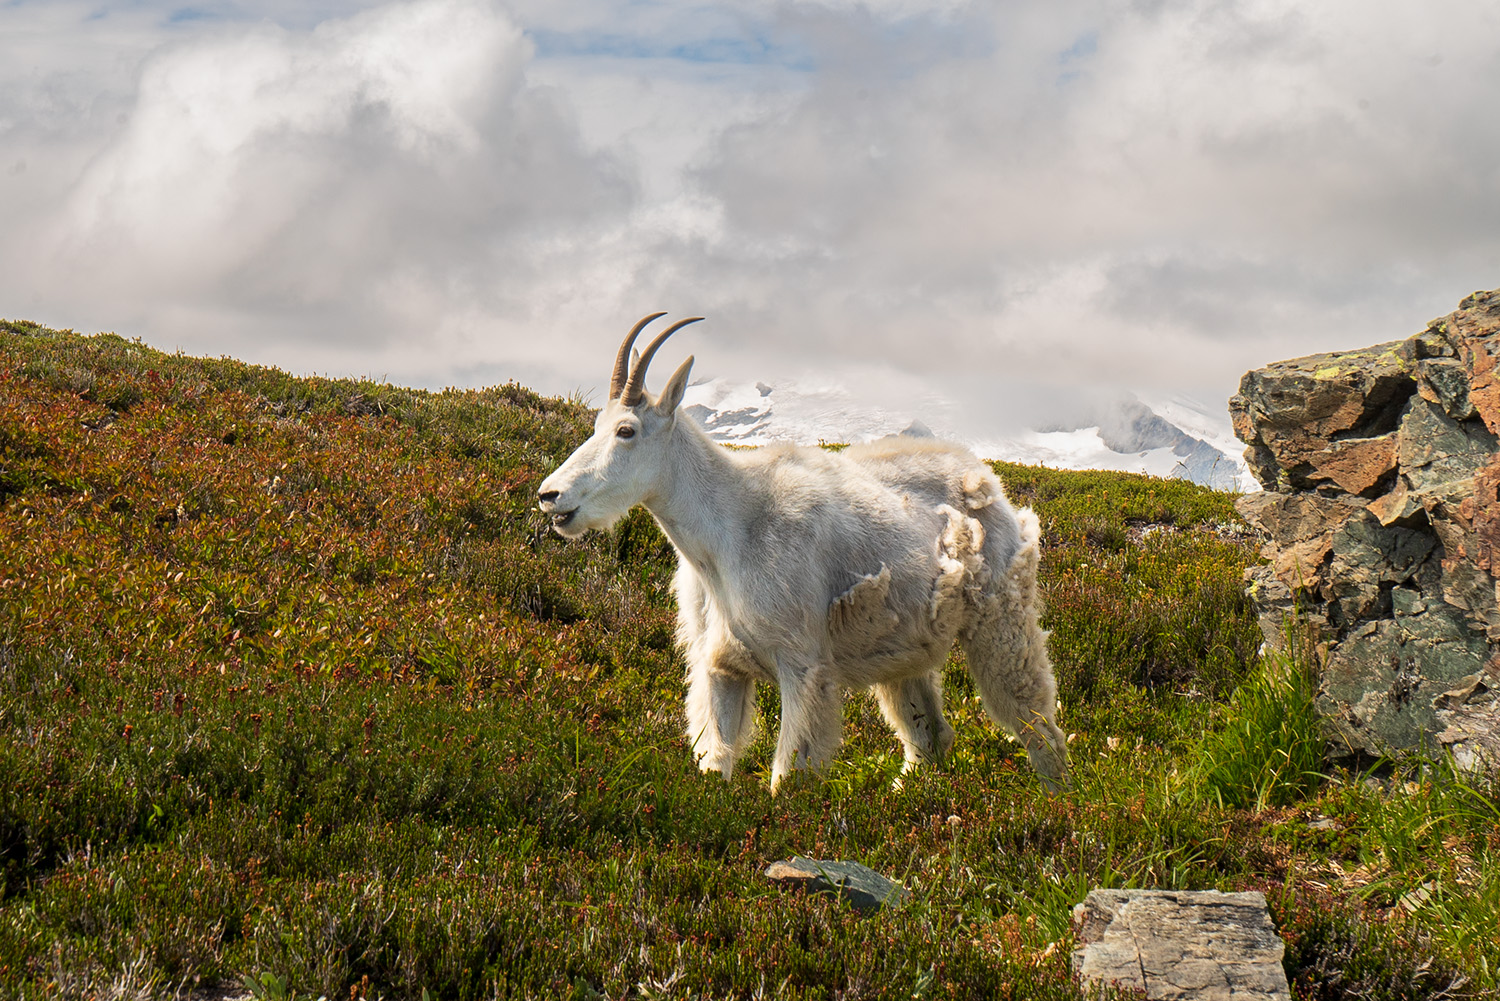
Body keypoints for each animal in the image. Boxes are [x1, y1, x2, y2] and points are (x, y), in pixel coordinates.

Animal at [537, 314, 1070, 793]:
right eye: (597, 424)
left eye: (626, 430)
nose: (550, 496)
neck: (727, 531)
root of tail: (986, 478)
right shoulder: (720, 667)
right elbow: (716, 760)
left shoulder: (802, 664)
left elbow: (789, 773)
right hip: (905, 648)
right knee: (929, 737)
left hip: (1001, 623)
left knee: (1037, 724)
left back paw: (1059, 801)